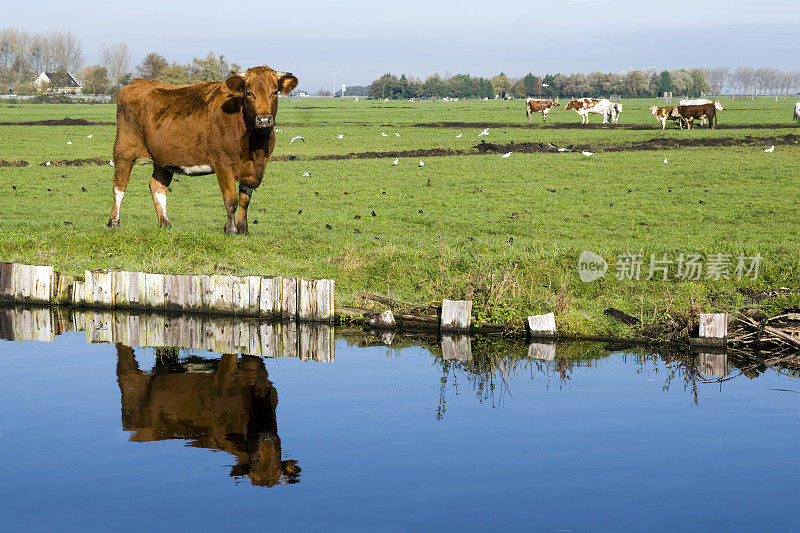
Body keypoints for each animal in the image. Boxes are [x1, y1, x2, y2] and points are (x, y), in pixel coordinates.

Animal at [108, 65, 298, 234]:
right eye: (249, 93)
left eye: (275, 92)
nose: (264, 120)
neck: (254, 145)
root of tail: (137, 82)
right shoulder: (222, 163)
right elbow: (231, 199)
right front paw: (231, 230)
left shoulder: (256, 167)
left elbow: (245, 200)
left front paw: (243, 230)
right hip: (124, 150)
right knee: (119, 186)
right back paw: (113, 222)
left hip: (163, 159)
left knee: (157, 186)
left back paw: (165, 223)